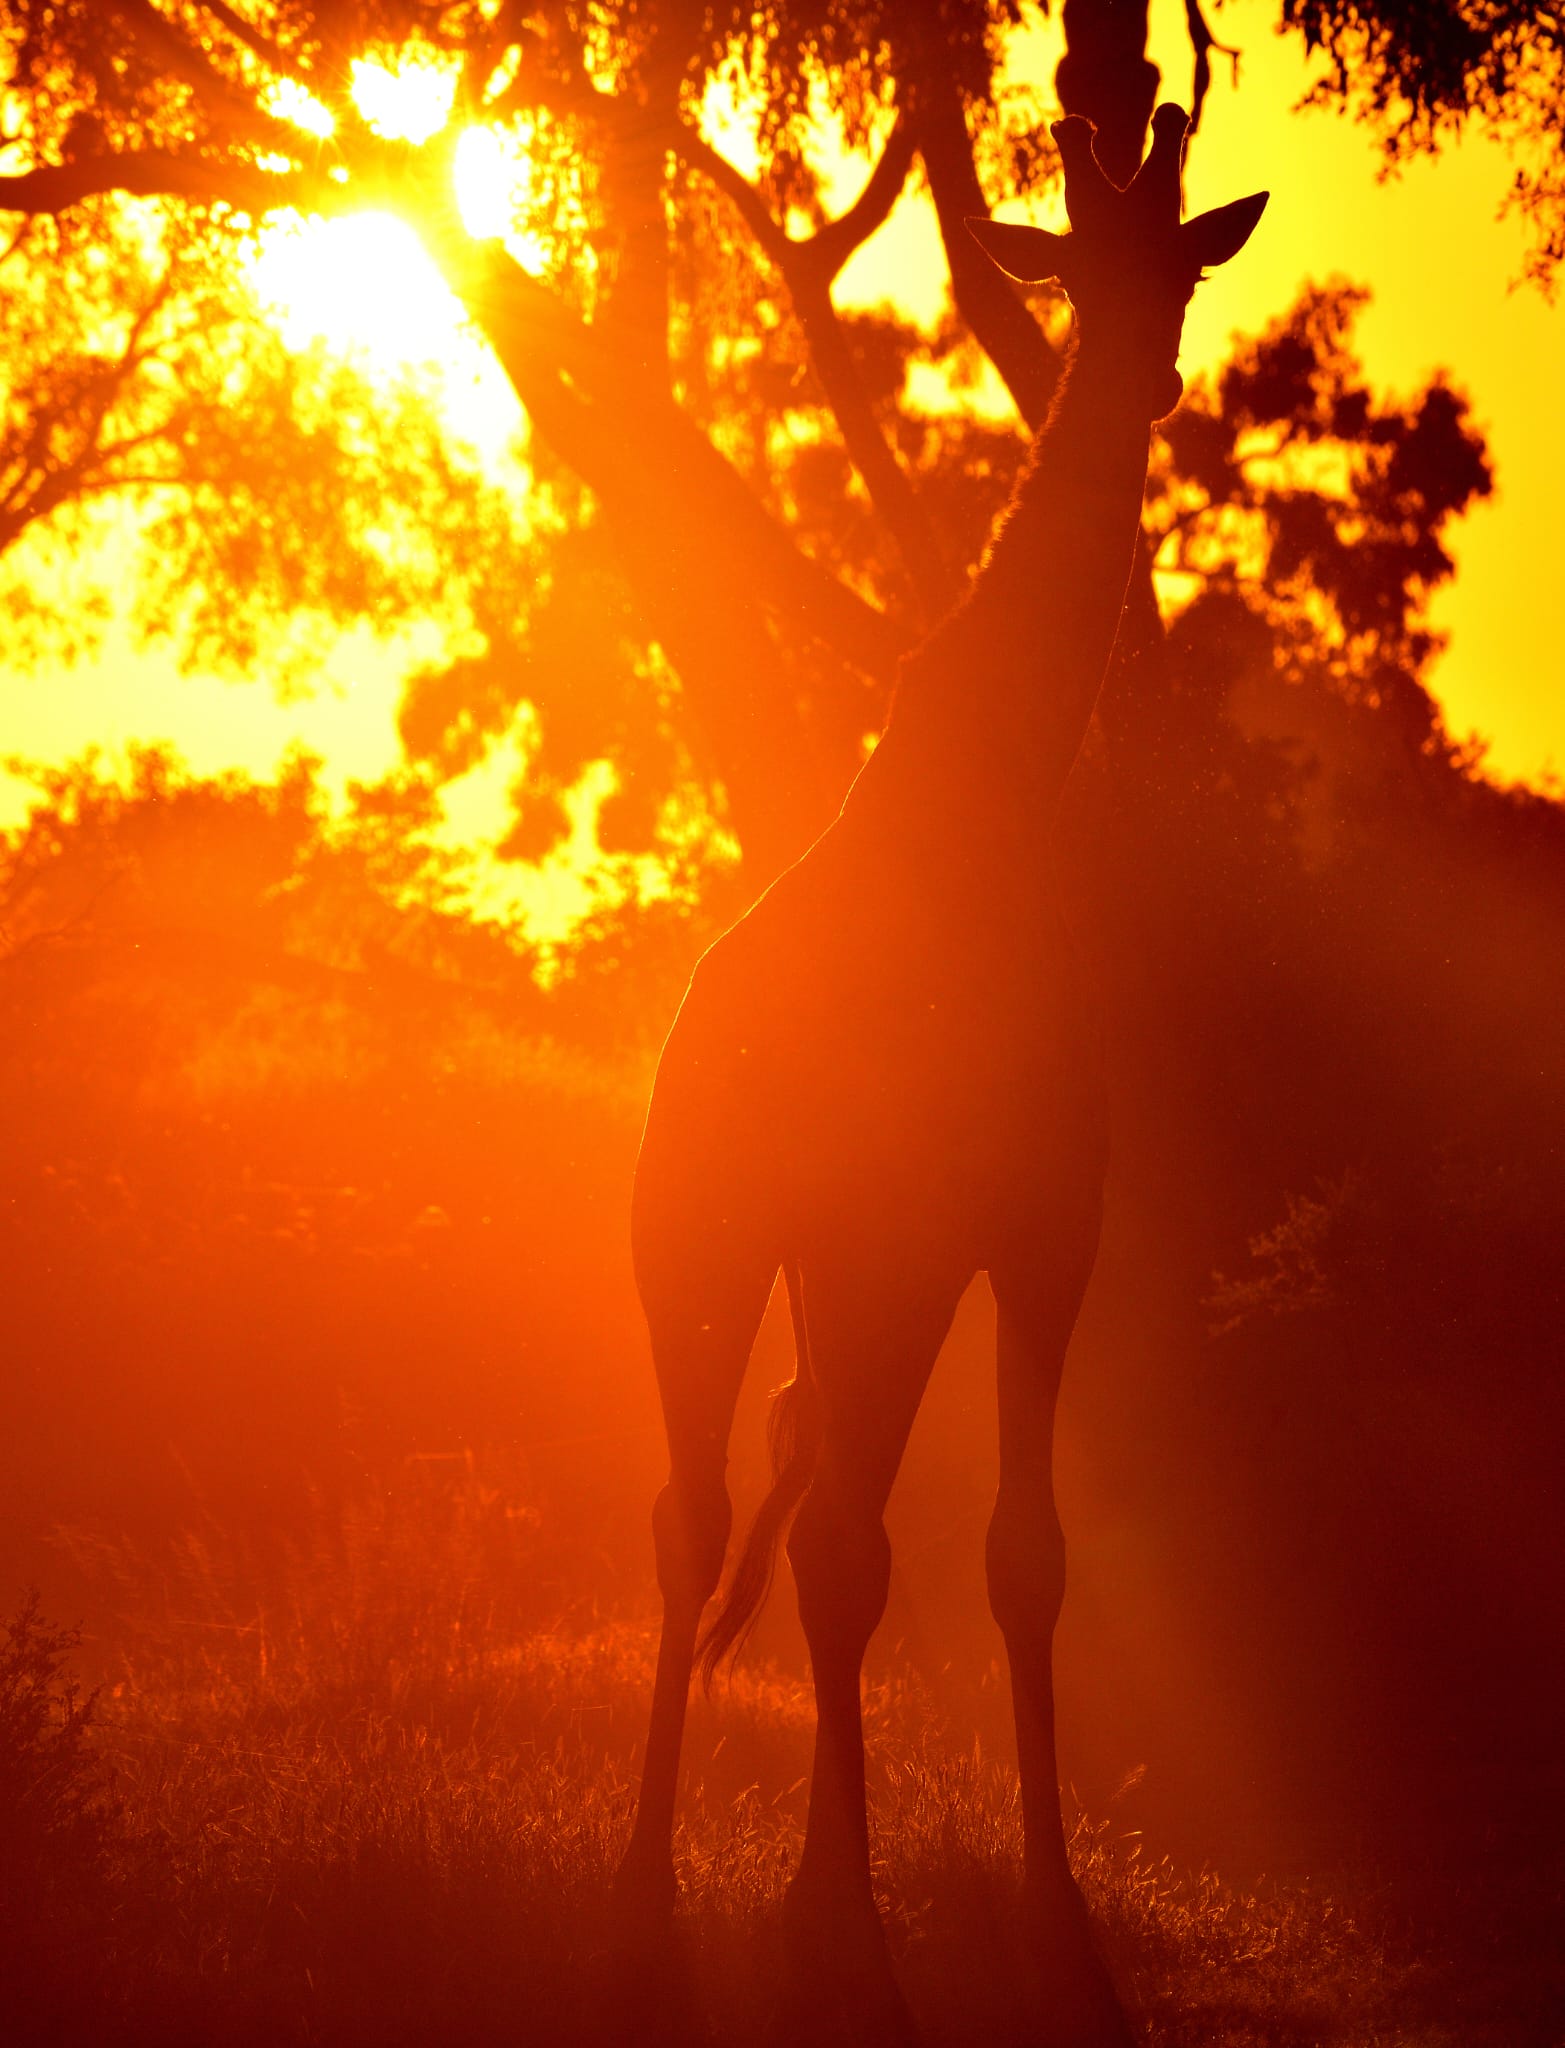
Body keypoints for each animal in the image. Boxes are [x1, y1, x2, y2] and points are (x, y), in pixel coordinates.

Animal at [615, 103, 1266, 2040]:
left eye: (1181, 266)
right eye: (1080, 265)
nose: (1143, 373)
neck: (985, 804)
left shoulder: (1043, 1227)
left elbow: (1016, 1559)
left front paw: (1064, 1933)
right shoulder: (873, 1232)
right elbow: (846, 1557)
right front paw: (840, 1930)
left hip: (850, 1279)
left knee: (798, 1503)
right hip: (697, 1249)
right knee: (710, 1519)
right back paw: (655, 1909)